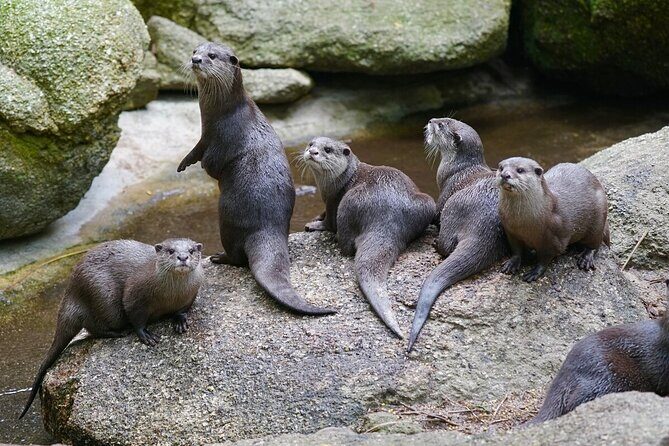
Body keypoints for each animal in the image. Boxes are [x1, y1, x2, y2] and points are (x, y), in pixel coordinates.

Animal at [19, 238, 204, 419]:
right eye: (170, 251)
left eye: (191, 251)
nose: (183, 257)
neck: (170, 296)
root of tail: (72, 291)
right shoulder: (135, 294)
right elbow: (135, 316)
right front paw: (144, 334)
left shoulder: (191, 295)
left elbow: (182, 310)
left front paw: (180, 321)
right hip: (104, 298)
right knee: (93, 326)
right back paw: (119, 332)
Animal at [176, 42, 334, 315]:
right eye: (195, 50)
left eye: (212, 56)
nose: (196, 60)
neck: (223, 112)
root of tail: (266, 228)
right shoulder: (205, 136)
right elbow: (194, 150)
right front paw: (183, 163)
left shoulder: (220, 138)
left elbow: (211, 165)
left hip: (226, 217)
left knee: (238, 258)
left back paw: (219, 257)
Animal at [301, 137, 435, 338]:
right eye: (310, 144)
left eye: (328, 149)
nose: (312, 152)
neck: (340, 181)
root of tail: (388, 216)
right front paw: (316, 217)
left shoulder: (333, 200)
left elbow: (329, 222)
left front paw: (316, 225)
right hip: (427, 203)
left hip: (349, 201)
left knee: (346, 244)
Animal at [407, 118, 508, 352]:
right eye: (445, 118)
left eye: (441, 125)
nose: (430, 120)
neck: (458, 168)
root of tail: (484, 229)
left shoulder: (446, 190)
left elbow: (435, 212)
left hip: (454, 207)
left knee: (446, 245)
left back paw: (436, 243)